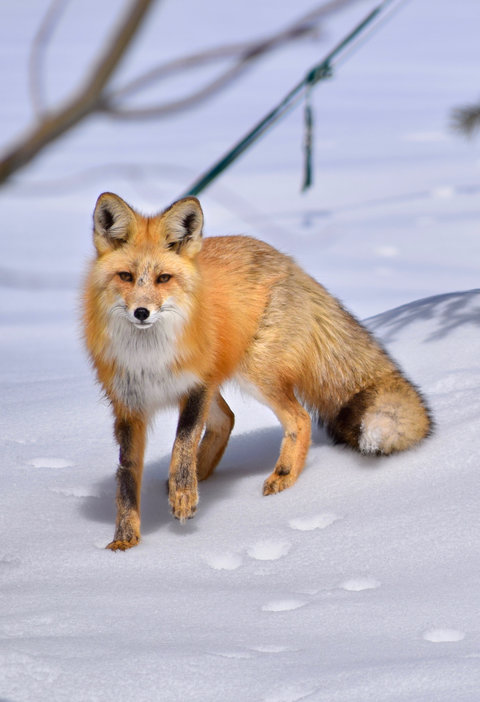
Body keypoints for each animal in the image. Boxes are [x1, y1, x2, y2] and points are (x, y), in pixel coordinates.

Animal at [82, 192, 431, 551]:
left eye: (163, 278)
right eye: (125, 276)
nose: (142, 312)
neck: (148, 357)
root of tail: (287, 260)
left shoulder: (196, 386)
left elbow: (182, 444)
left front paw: (182, 498)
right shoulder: (128, 407)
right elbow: (127, 479)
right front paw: (125, 540)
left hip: (255, 372)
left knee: (299, 418)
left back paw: (283, 476)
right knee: (228, 420)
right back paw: (199, 478)